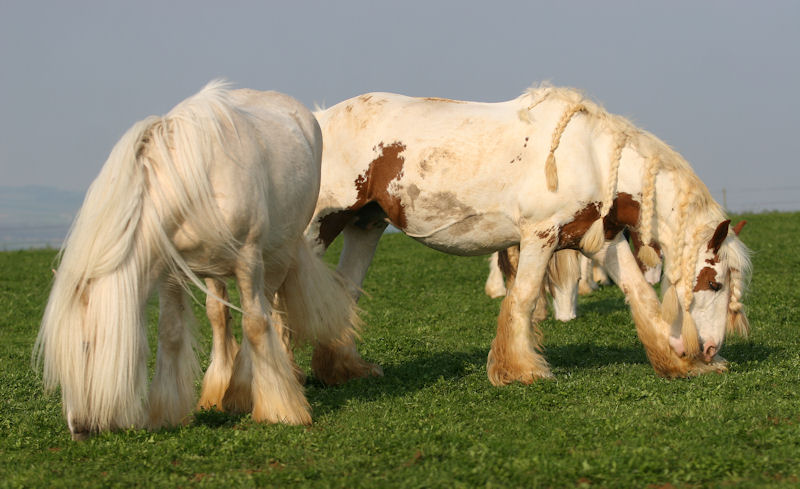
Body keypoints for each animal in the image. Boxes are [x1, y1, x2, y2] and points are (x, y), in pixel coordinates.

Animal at [34, 82, 360, 440]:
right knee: (219, 315)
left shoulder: (249, 260)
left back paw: (248, 387)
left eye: (86, 345)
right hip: (214, 271)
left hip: (278, 254)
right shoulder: (171, 272)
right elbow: (171, 332)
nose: (78, 427)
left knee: (266, 308)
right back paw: (220, 388)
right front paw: (165, 412)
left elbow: (255, 325)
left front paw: (278, 410)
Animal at [306, 85, 752, 386]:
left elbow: (640, 296)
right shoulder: (540, 237)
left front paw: (678, 362)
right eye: (714, 283)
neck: (589, 157)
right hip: (319, 228)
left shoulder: (601, 241)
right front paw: (521, 370)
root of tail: (318, 120)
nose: (711, 348)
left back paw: (345, 371)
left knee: (343, 297)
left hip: (364, 227)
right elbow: (522, 298)